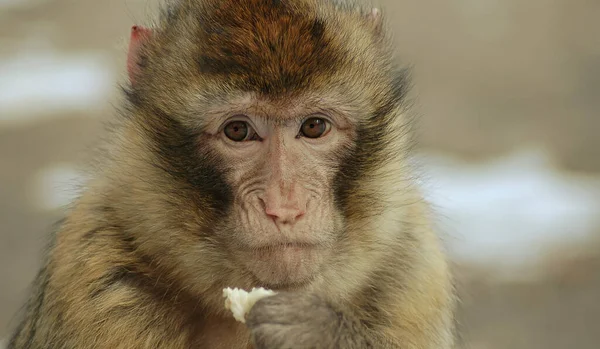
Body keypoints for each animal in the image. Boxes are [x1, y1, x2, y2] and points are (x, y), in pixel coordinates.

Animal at [8, 0, 454, 348]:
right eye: (238, 131)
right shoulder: (96, 280)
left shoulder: (412, 274)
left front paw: (318, 334)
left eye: (314, 127)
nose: (284, 206)